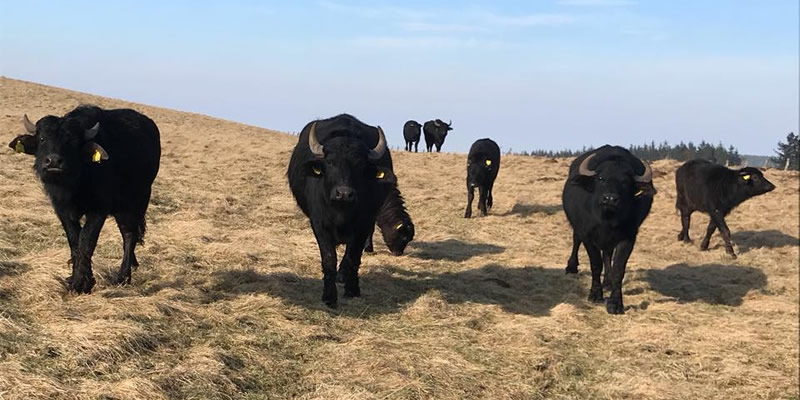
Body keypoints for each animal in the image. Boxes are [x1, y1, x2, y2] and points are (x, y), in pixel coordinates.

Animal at [8, 105, 161, 293]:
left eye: (73, 142)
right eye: (42, 138)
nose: (54, 161)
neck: (75, 185)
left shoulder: (98, 210)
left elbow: (86, 241)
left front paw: (82, 283)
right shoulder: (62, 210)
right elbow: (74, 240)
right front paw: (74, 278)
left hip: (136, 201)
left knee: (129, 234)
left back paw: (123, 277)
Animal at [287, 114, 395, 307]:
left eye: (360, 165)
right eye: (330, 162)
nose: (344, 193)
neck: (341, 212)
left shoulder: (364, 225)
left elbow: (353, 257)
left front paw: (352, 289)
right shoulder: (319, 224)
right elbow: (329, 258)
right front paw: (329, 296)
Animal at [563, 145, 655, 314]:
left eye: (626, 182)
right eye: (601, 178)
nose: (610, 199)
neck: (607, 220)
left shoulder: (628, 238)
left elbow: (618, 268)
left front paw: (615, 303)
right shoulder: (588, 235)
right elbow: (595, 264)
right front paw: (595, 295)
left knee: (607, 253)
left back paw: (607, 281)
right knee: (576, 239)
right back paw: (571, 267)